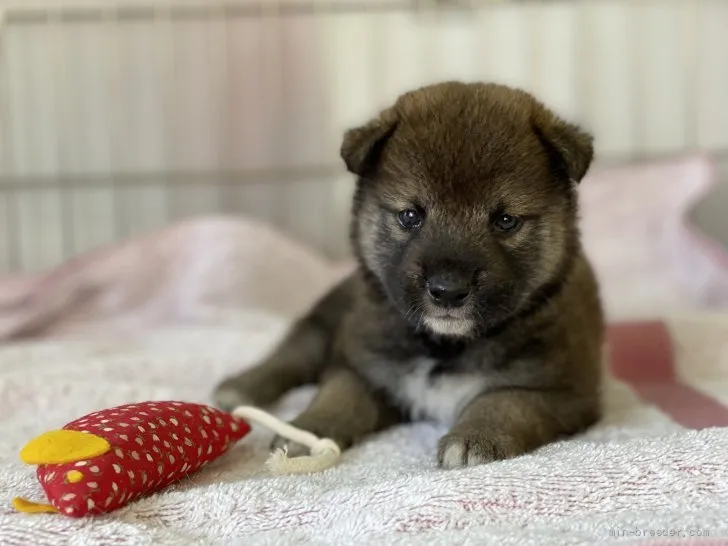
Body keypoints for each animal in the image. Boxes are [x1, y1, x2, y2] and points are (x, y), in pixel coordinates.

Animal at [213, 82, 604, 468]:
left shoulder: (562, 392)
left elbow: (505, 401)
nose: (448, 290)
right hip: (327, 321)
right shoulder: (361, 365)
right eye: (410, 215)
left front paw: (477, 436)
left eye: (506, 221)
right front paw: (310, 430)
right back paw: (241, 386)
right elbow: (338, 395)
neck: (444, 345)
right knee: (295, 351)